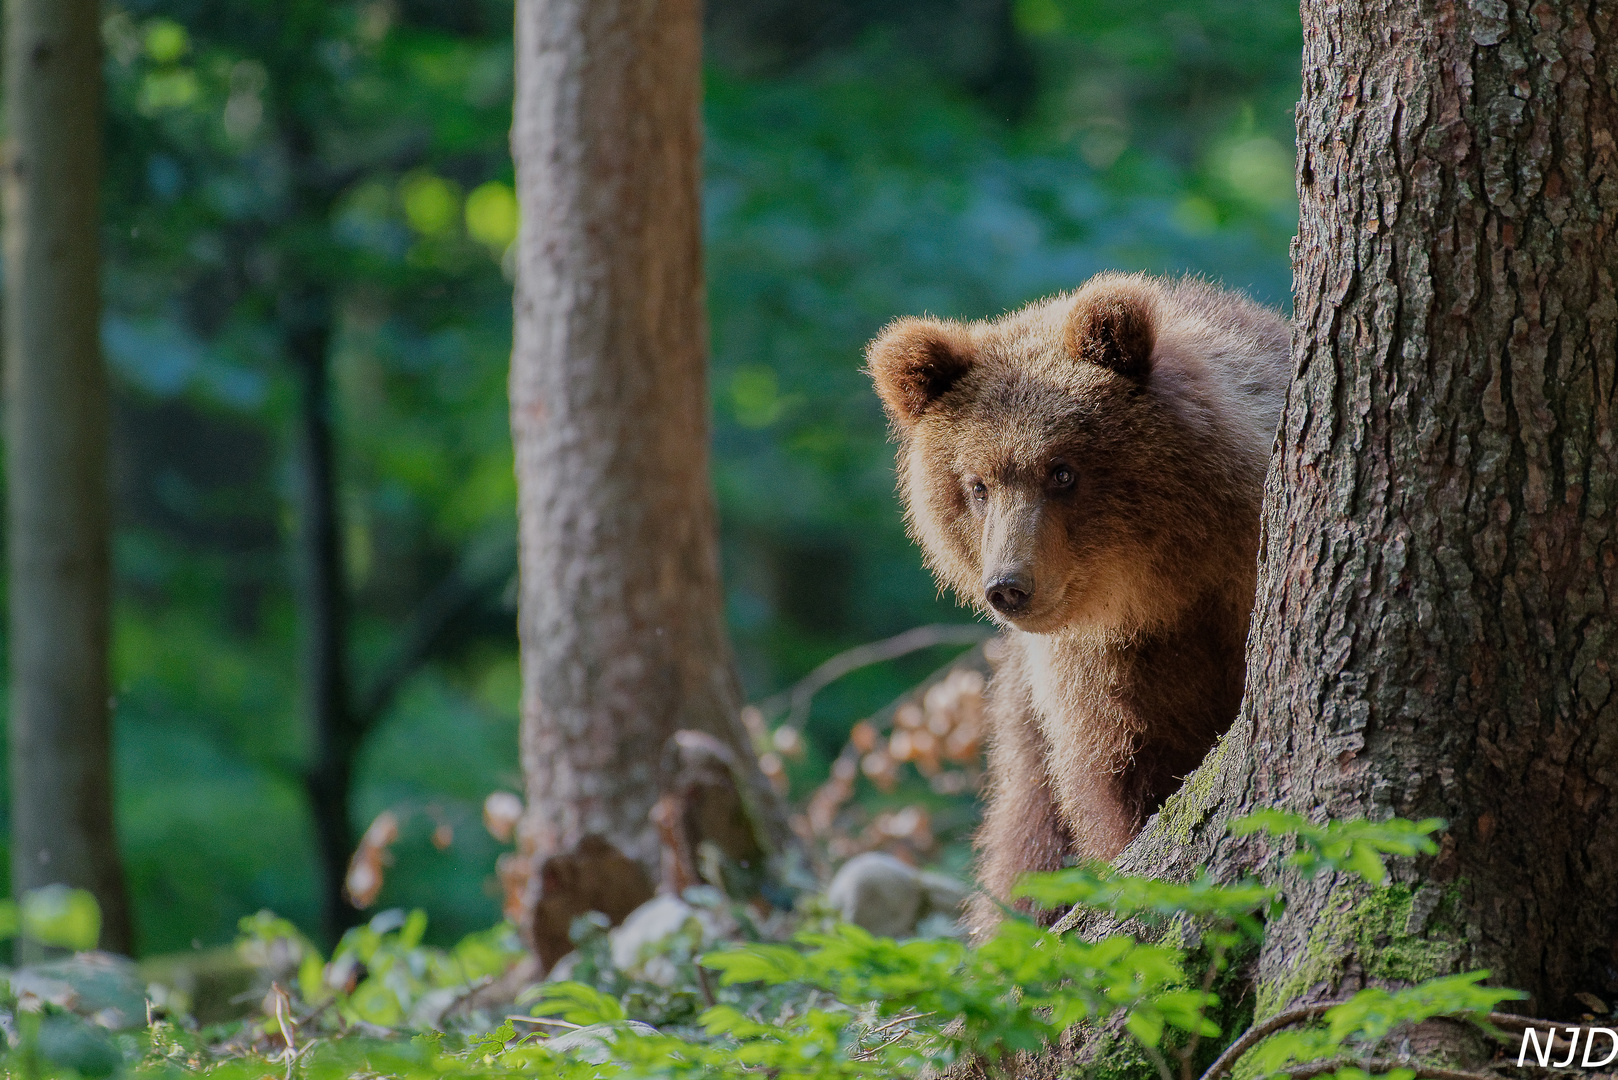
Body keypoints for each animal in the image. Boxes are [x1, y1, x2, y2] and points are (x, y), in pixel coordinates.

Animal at [867, 272, 1281, 939]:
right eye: (977, 485)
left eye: (1061, 471)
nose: (1009, 585)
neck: (1169, 585)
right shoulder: (1103, 668)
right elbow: (1120, 778)